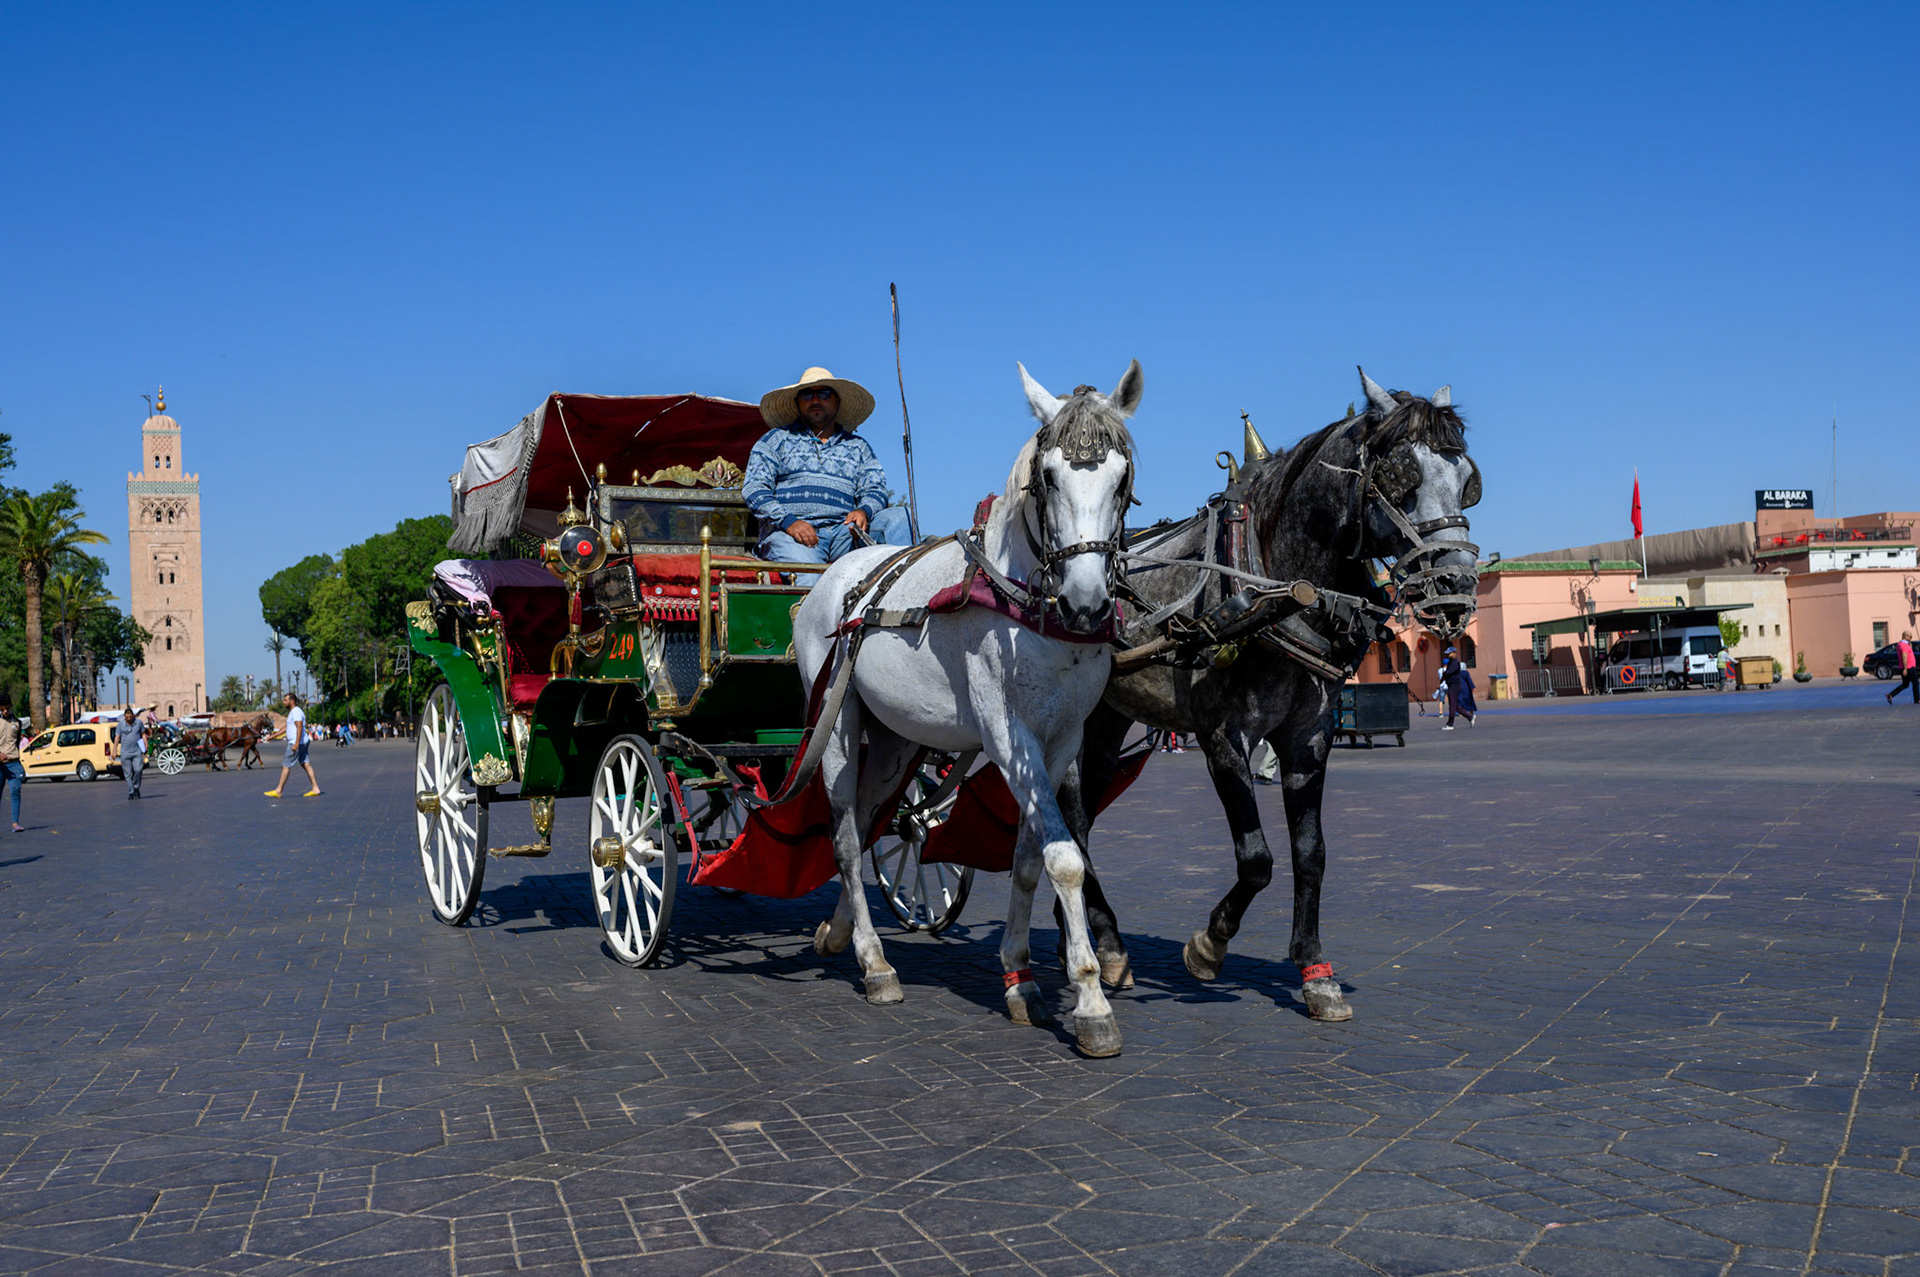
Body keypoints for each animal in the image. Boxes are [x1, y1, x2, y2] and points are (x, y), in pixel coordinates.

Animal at [792, 360, 1142, 1057]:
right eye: (1049, 476)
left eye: (1121, 479)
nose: (1088, 602)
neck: (1026, 603)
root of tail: (835, 577)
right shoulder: (1009, 736)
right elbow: (1065, 861)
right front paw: (1091, 1002)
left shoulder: (1062, 740)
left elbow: (1031, 858)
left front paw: (1021, 979)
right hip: (836, 724)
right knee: (843, 836)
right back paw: (874, 963)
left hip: (894, 738)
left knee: (869, 823)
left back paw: (839, 932)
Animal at [1058, 368, 1480, 1022]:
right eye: (1402, 477)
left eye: (1467, 481)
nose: (1455, 584)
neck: (1278, 587)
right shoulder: (1221, 738)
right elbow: (1257, 859)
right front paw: (1208, 946)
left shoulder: (1309, 737)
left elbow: (1311, 852)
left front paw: (1315, 972)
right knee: (1072, 813)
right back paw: (1102, 945)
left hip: (1109, 720)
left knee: (1080, 815)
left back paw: (1092, 938)